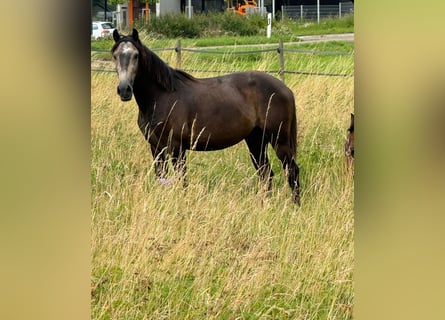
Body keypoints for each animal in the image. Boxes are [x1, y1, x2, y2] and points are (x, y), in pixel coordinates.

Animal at [110, 30, 302, 205]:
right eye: (115, 55)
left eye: (136, 56)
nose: (124, 90)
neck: (162, 96)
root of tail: (285, 89)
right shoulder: (156, 147)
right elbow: (161, 177)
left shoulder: (177, 148)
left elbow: (182, 180)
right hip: (256, 140)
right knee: (266, 173)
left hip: (279, 140)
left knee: (292, 171)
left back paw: (295, 206)